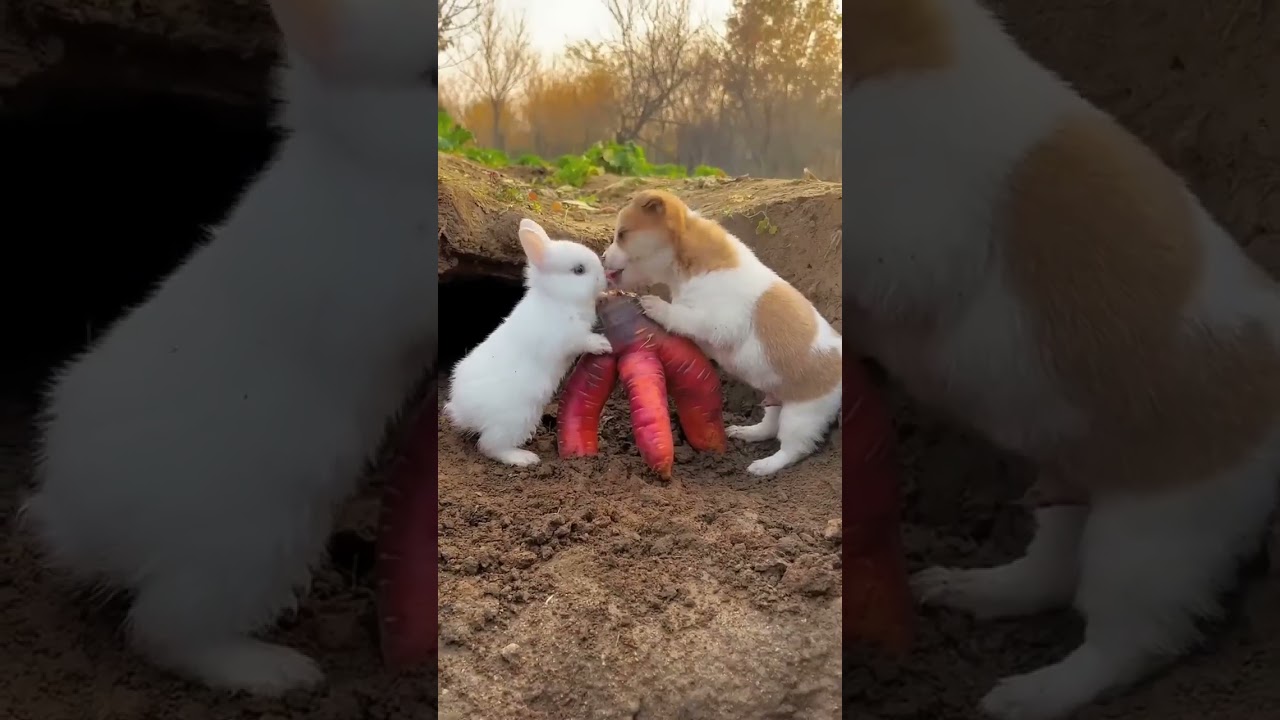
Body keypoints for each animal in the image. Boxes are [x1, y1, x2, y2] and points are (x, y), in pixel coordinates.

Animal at [17, 0, 436, 697]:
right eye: (426, 76)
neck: (362, 160)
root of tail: (77, 523)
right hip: (248, 546)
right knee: (163, 634)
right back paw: (282, 673)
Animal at [444, 218, 612, 467]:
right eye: (579, 270)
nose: (605, 277)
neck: (557, 298)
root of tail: (462, 411)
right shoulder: (567, 337)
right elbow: (584, 341)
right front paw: (603, 345)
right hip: (515, 419)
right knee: (490, 446)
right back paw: (525, 458)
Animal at [602, 189, 841, 476]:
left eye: (622, 234)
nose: (601, 256)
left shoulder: (719, 322)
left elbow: (682, 316)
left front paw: (655, 306)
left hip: (802, 414)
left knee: (793, 448)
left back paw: (763, 467)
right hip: (777, 400)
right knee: (769, 427)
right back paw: (746, 432)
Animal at [847, 1, 1280, 719]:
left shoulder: (913, 238)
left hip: (1155, 535)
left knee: (1127, 642)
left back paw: (1029, 695)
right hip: (1074, 489)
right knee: (1047, 574)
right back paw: (967, 590)